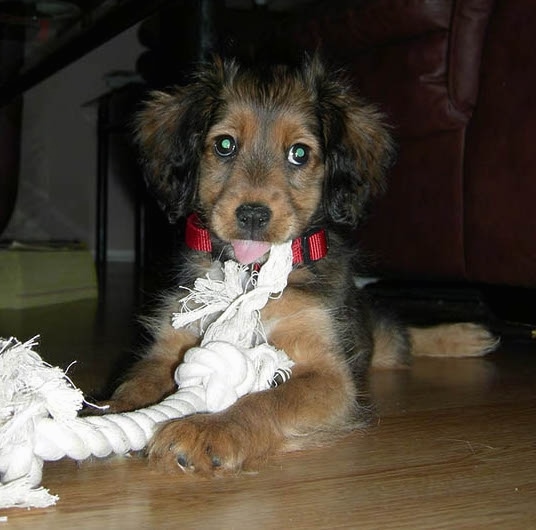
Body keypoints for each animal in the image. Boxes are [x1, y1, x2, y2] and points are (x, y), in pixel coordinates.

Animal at [101, 54, 498, 474]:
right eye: (225, 145)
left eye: (300, 153)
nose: (253, 215)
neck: (251, 276)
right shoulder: (170, 345)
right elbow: (138, 382)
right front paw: (111, 414)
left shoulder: (327, 372)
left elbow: (264, 401)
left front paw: (208, 429)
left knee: (400, 337)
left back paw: (467, 335)